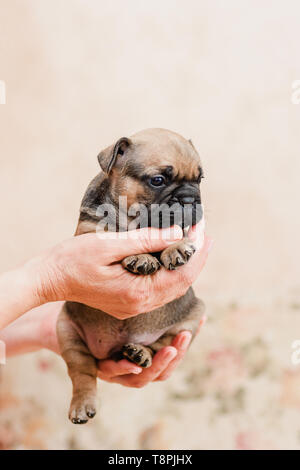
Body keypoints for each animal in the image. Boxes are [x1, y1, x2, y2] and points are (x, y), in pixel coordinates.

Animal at [57, 127, 205, 422]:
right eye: (158, 180)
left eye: (200, 179)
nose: (190, 198)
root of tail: (107, 352)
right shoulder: (89, 233)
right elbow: (113, 235)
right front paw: (140, 256)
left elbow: (173, 231)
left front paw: (176, 248)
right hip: (65, 330)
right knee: (82, 371)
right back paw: (82, 404)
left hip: (191, 318)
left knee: (159, 346)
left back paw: (139, 353)